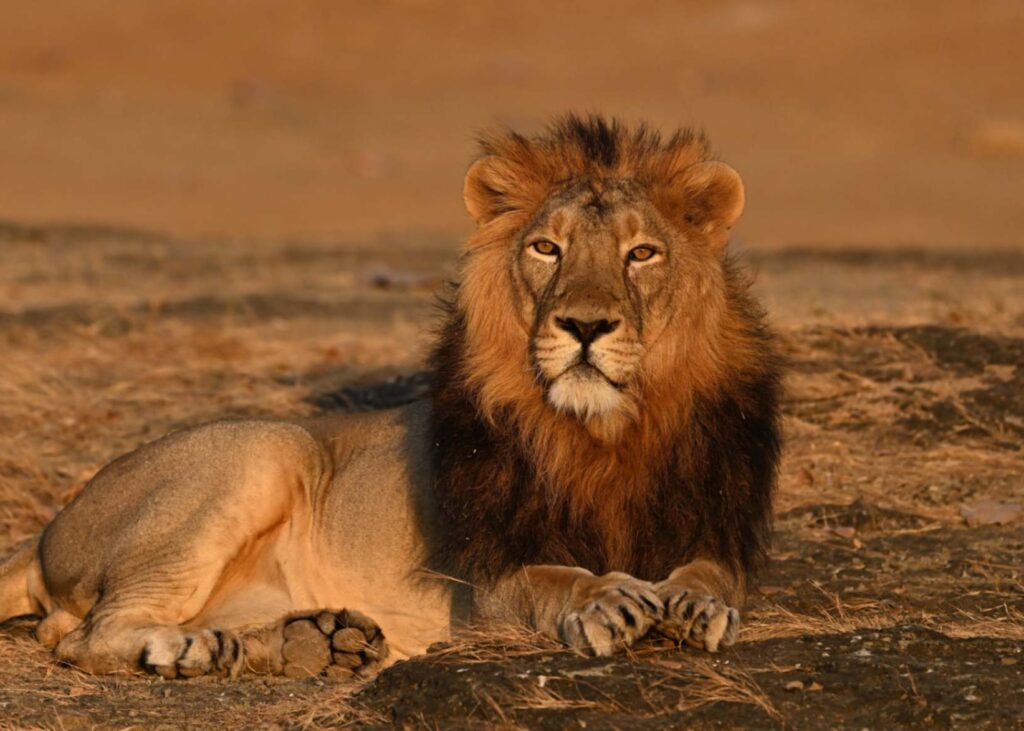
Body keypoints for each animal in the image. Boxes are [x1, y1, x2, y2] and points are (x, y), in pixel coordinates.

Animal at [0, 115, 781, 679]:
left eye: (641, 253)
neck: (606, 429)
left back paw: (311, 645)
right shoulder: (485, 581)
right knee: (82, 635)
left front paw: (695, 603)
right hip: (266, 448)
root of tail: (45, 533)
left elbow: (713, 574)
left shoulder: (716, 524)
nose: (584, 326)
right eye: (547, 249)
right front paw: (608, 596)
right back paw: (187, 650)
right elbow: (553, 579)